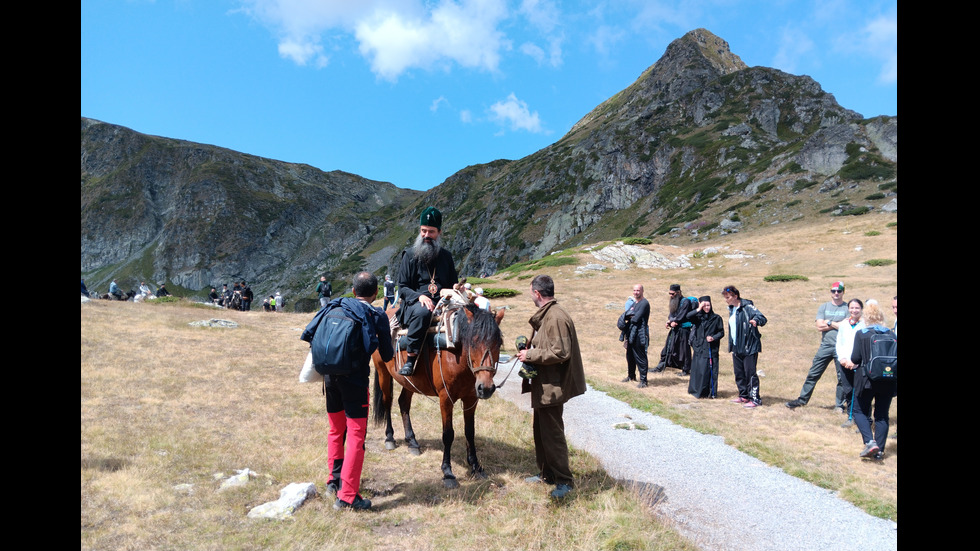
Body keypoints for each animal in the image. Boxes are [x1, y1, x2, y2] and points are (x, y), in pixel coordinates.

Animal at [370, 304, 502, 490]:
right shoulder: (445, 399)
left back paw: (412, 442)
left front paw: (476, 467)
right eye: (474, 342)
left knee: (403, 403)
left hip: (410, 381)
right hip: (382, 371)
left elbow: (470, 432)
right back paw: (390, 438)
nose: (487, 388)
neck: (456, 351)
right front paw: (447, 472)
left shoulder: (471, 399)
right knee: (387, 402)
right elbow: (448, 434)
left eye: (499, 343)